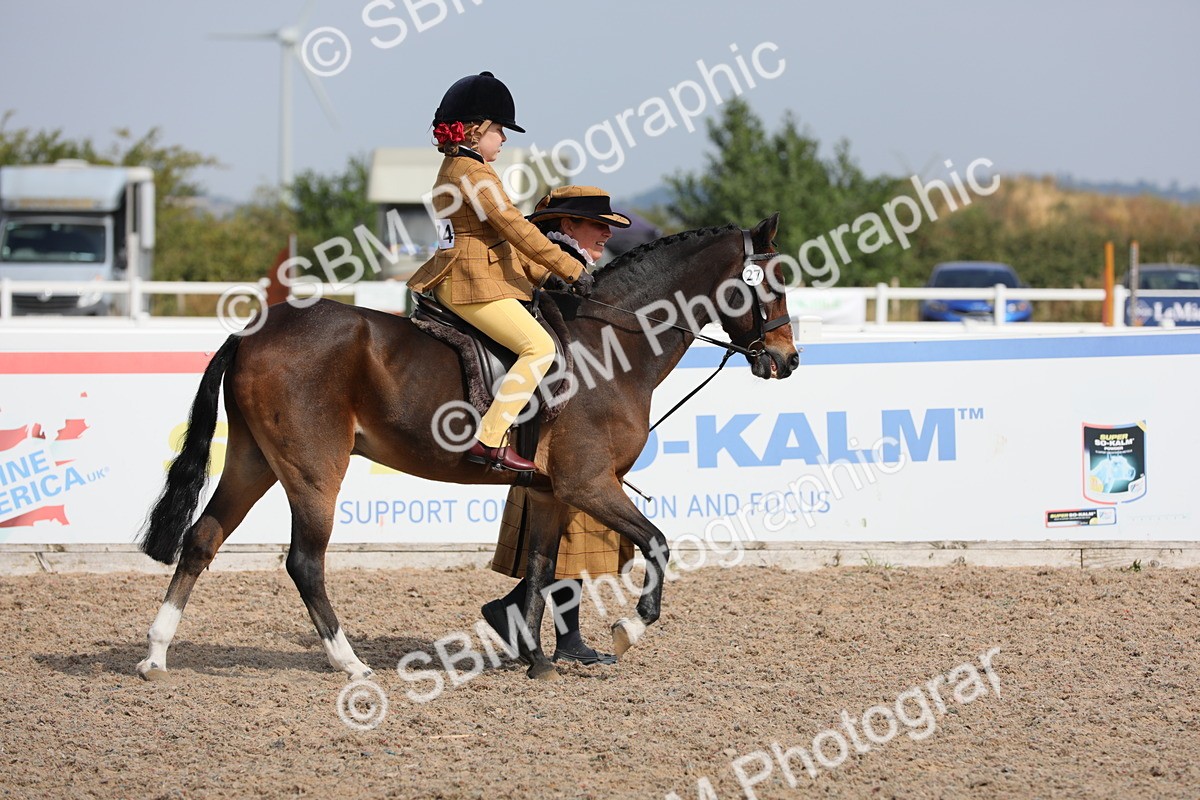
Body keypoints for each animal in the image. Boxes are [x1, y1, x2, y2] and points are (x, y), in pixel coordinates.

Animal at [136, 213, 799, 681]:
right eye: (773, 283)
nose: (787, 360)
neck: (611, 343)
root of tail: (254, 330)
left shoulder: (552, 490)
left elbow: (541, 568)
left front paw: (537, 659)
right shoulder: (588, 483)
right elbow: (657, 543)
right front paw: (626, 632)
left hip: (253, 462)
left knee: (201, 540)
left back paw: (156, 656)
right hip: (312, 470)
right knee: (304, 562)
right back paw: (349, 663)